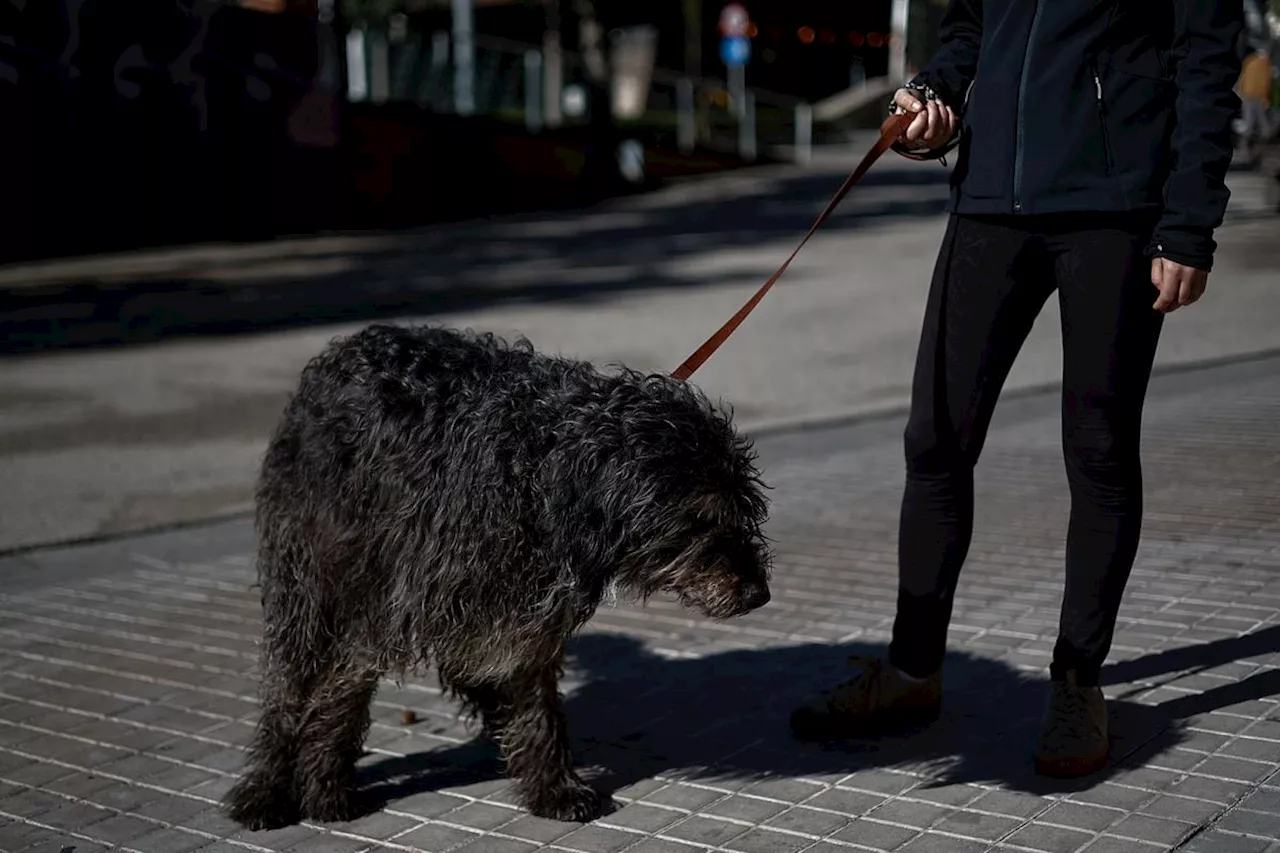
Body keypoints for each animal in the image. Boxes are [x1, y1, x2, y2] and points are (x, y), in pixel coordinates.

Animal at [222, 322, 768, 824]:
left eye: (745, 510)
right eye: (702, 519)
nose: (758, 594)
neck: (543, 469)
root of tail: (348, 346)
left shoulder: (527, 619)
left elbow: (534, 707)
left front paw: (551, 787)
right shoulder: (391, 606)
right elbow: (342, 693)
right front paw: (325, 788)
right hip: (307, 581)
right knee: (287, 688)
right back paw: (265, 789)